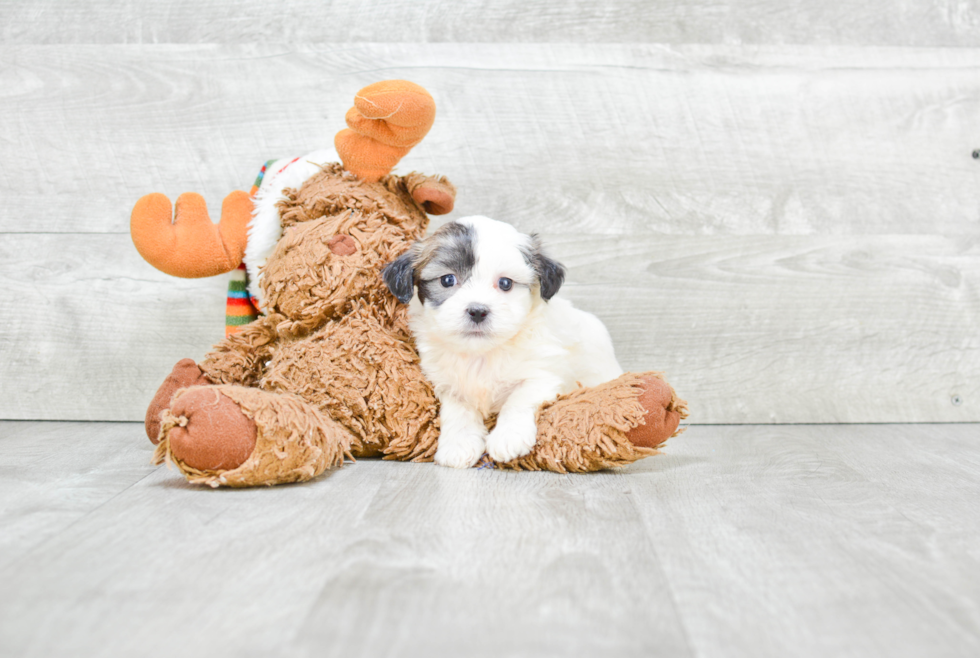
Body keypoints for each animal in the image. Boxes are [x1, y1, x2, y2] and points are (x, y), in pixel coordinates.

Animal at [380, 215, 620, 466]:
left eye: (505, 283)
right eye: (447, 280)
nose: (477, 311)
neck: (481, 354)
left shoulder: (543, 373)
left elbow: (519, 397)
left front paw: (508, 437)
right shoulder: (446, 383)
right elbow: (457, 410)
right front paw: (458, 445)